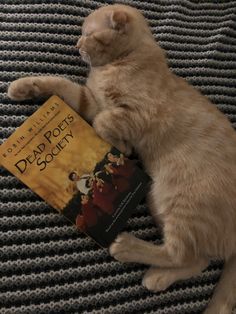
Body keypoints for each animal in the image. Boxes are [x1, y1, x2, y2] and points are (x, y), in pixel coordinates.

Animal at [6, 4, 236, 314]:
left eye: (88, 34)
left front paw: (122, 146)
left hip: (185, 205)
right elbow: (63, 87)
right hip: (158, 199)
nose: (76, 45)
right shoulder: (90, 101)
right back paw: (158, 277)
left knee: (179, 252)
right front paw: (24, 86)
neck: (122, 61)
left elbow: (104, 121)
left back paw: (127, 248)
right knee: (196, 259)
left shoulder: (136, 112)